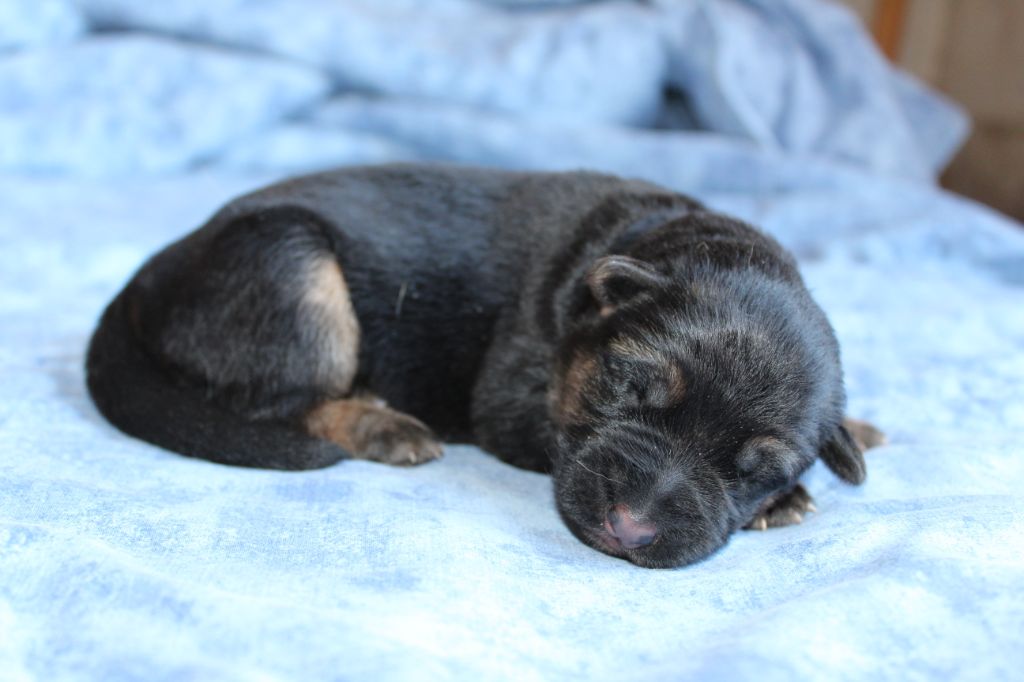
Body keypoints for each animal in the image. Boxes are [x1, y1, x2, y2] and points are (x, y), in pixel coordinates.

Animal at [86, 163, 882, 568]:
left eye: (751, 470)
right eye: (626, 387)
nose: (630, 529)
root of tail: (150, 276)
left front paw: (852, 438)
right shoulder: (509, 400)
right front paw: (794, 500)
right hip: (295, 269)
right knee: (278, 401)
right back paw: (381, 425)